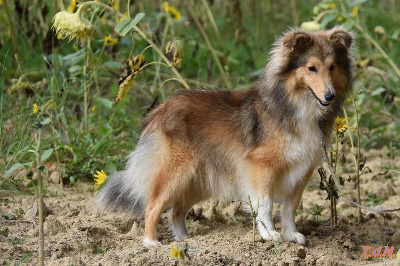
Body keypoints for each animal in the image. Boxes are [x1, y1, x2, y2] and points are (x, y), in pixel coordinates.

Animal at [97, 26, 354, 247]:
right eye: (311, 68)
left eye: (332, 67)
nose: (329, 96)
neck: (296, 105)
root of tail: (159, 111)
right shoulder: (262, 167)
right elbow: (265, 204)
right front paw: (269, 234)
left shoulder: (302, 170)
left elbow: (290, 208)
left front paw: (291, 235)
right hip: (176, 172)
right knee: (153, 205)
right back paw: (152, 243)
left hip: (197, 180)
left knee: (177, 211)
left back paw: (186, 241)